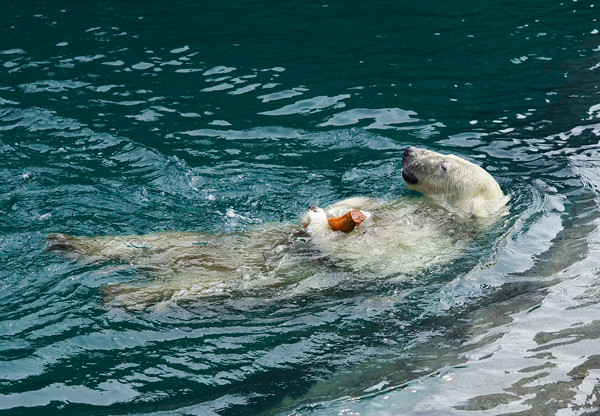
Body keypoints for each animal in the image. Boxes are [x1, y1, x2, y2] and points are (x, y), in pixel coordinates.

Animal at [47, 145, 506, 306]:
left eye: (444, 165)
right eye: (442, 154)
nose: (409, 151)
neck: (444, 215)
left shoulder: (432, 241)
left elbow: (370, 254)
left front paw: (321, 224)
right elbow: (365, 204)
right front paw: (330, 209)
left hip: (244, 277)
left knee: (200, 283)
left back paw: (117, 293)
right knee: (168, 241)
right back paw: (66, 242)